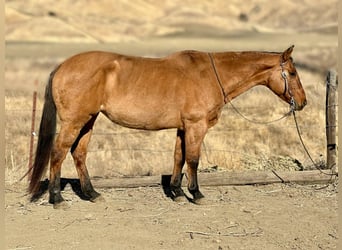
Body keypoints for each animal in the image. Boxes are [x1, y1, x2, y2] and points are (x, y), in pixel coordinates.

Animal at [28, 45, 308, 209]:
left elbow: (178, 158)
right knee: (58, 153)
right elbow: (193, 159)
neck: (209, 75)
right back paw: (57, 198)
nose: (303, 102)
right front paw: (196, 194)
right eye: (293, 73)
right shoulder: (196, 126)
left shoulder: (183, 128)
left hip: (89, 120)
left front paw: (176, 192)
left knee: (79, 153)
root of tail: (62, 66)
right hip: (75, 121)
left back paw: (91, 194)